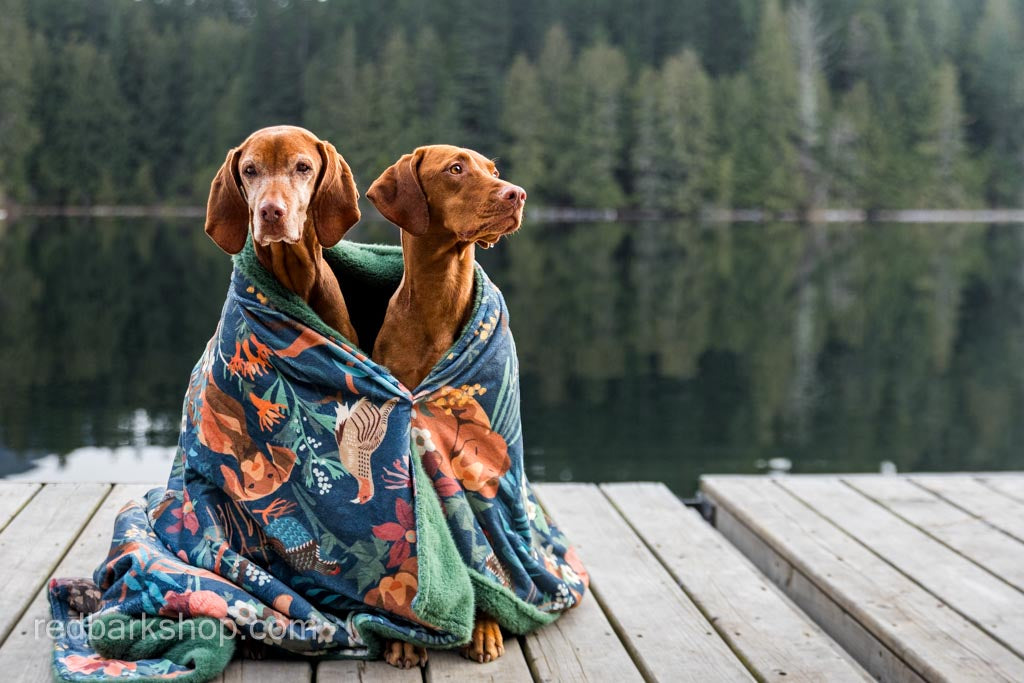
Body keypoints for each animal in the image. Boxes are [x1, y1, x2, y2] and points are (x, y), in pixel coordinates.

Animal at [368, 141, 528, 663]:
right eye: (456, 169)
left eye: (493, 170)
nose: (517, 193)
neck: (438, 300)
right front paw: (405, 639)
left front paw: (485, 628)